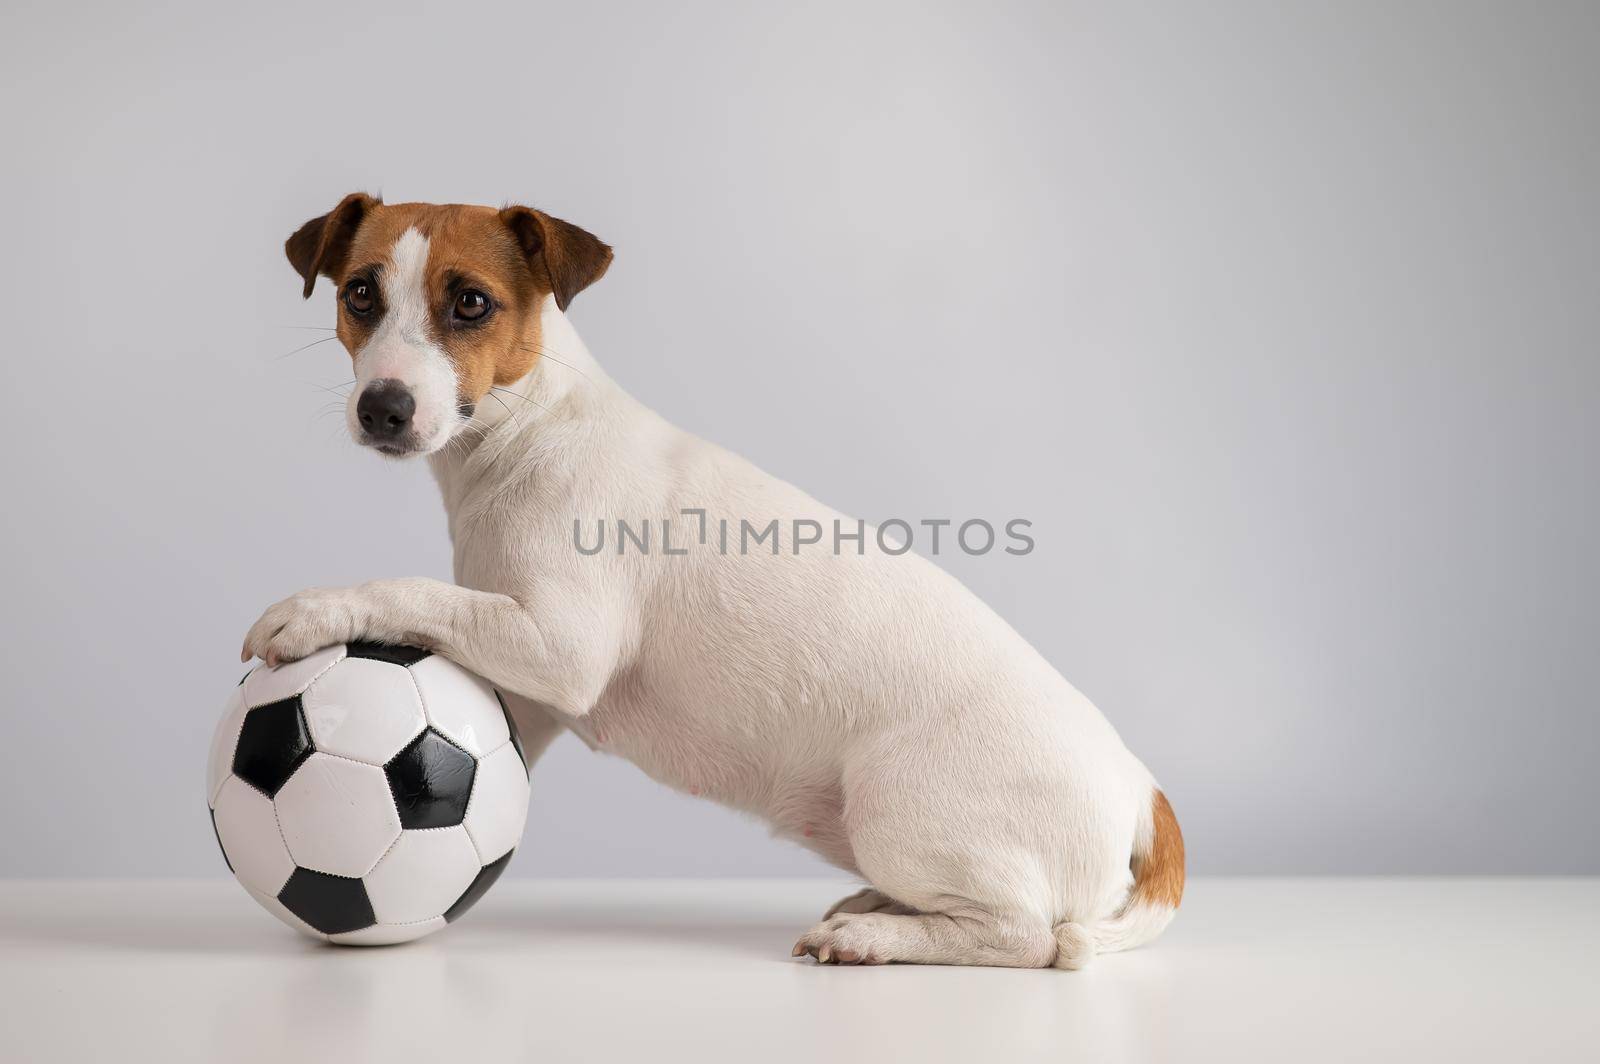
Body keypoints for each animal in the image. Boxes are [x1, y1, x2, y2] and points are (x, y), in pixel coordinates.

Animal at [243, 195, 1184, 966]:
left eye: (470, 302)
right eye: (359, 294)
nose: (383, 408)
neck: (529, 430)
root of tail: (1142, 788)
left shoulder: (561, 647)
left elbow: (413, 590)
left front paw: (312, 610)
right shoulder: (533, 689)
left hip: (899, 808)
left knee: (1029, 937)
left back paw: (874, 936)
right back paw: (881, 909)